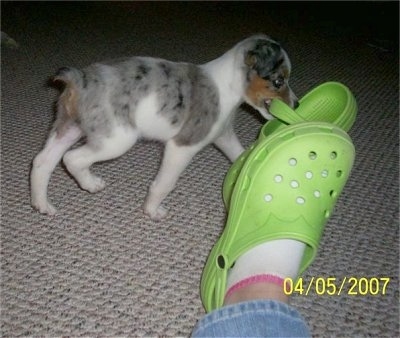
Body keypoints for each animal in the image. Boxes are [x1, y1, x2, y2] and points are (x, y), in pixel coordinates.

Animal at [30, 34, 296, 219]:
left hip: (68, 127)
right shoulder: (182, 146)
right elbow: (165, 183)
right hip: (115, 141)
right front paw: (151, 210)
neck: (226, 85)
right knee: (72, 159)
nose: (296, 103)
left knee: (42, 161)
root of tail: (79, 78)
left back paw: (42, 204)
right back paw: (90, 183)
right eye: (278, 81)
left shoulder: (223, 136)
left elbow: (241, 155)